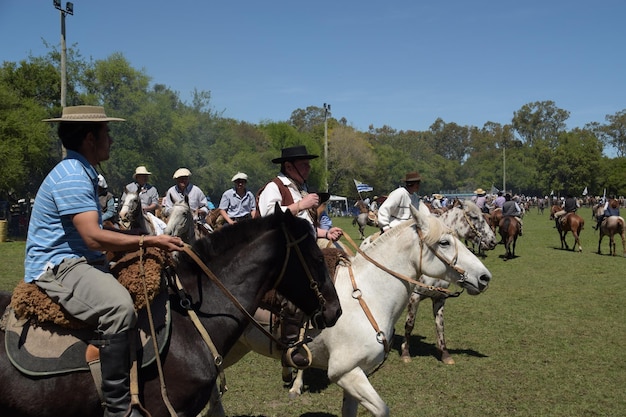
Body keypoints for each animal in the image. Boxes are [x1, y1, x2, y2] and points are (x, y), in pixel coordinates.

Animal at [217, 205, 490, 416]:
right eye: (444, 242)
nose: (484, 277)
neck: (369, 294)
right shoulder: (346, 373)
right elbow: (381, 409)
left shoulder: (358, 374)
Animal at [400, 198, 498, 364]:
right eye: (474, 217)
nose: (493, 241)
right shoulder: (415, 297)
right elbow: (410, 324)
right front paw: (406, 352)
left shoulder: (440, 298)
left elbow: (440, 326)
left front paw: (445, 354)